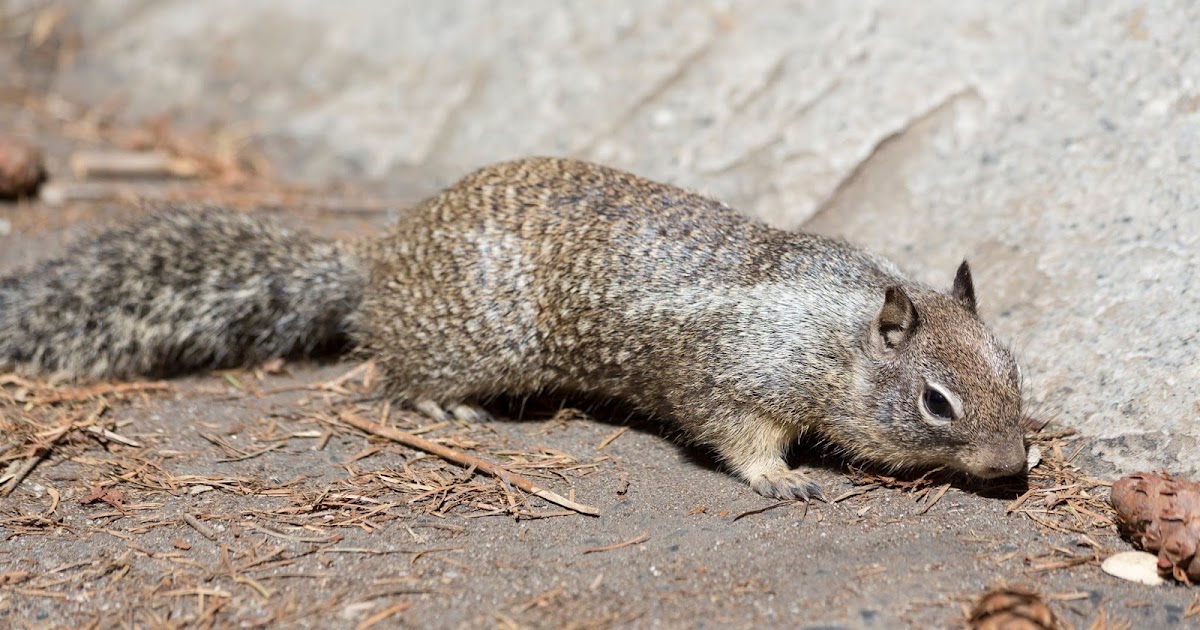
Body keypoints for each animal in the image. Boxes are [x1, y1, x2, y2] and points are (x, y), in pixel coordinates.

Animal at [0, 157, 1027, 500]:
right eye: (937, 403)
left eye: (1016, 373)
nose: (1014, 468)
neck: (835, 336)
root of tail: (375, 264)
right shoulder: (732, 377)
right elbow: (735, 436)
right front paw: (782, 479)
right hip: (462, 345)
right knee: (402, 377)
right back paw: (447, 409)